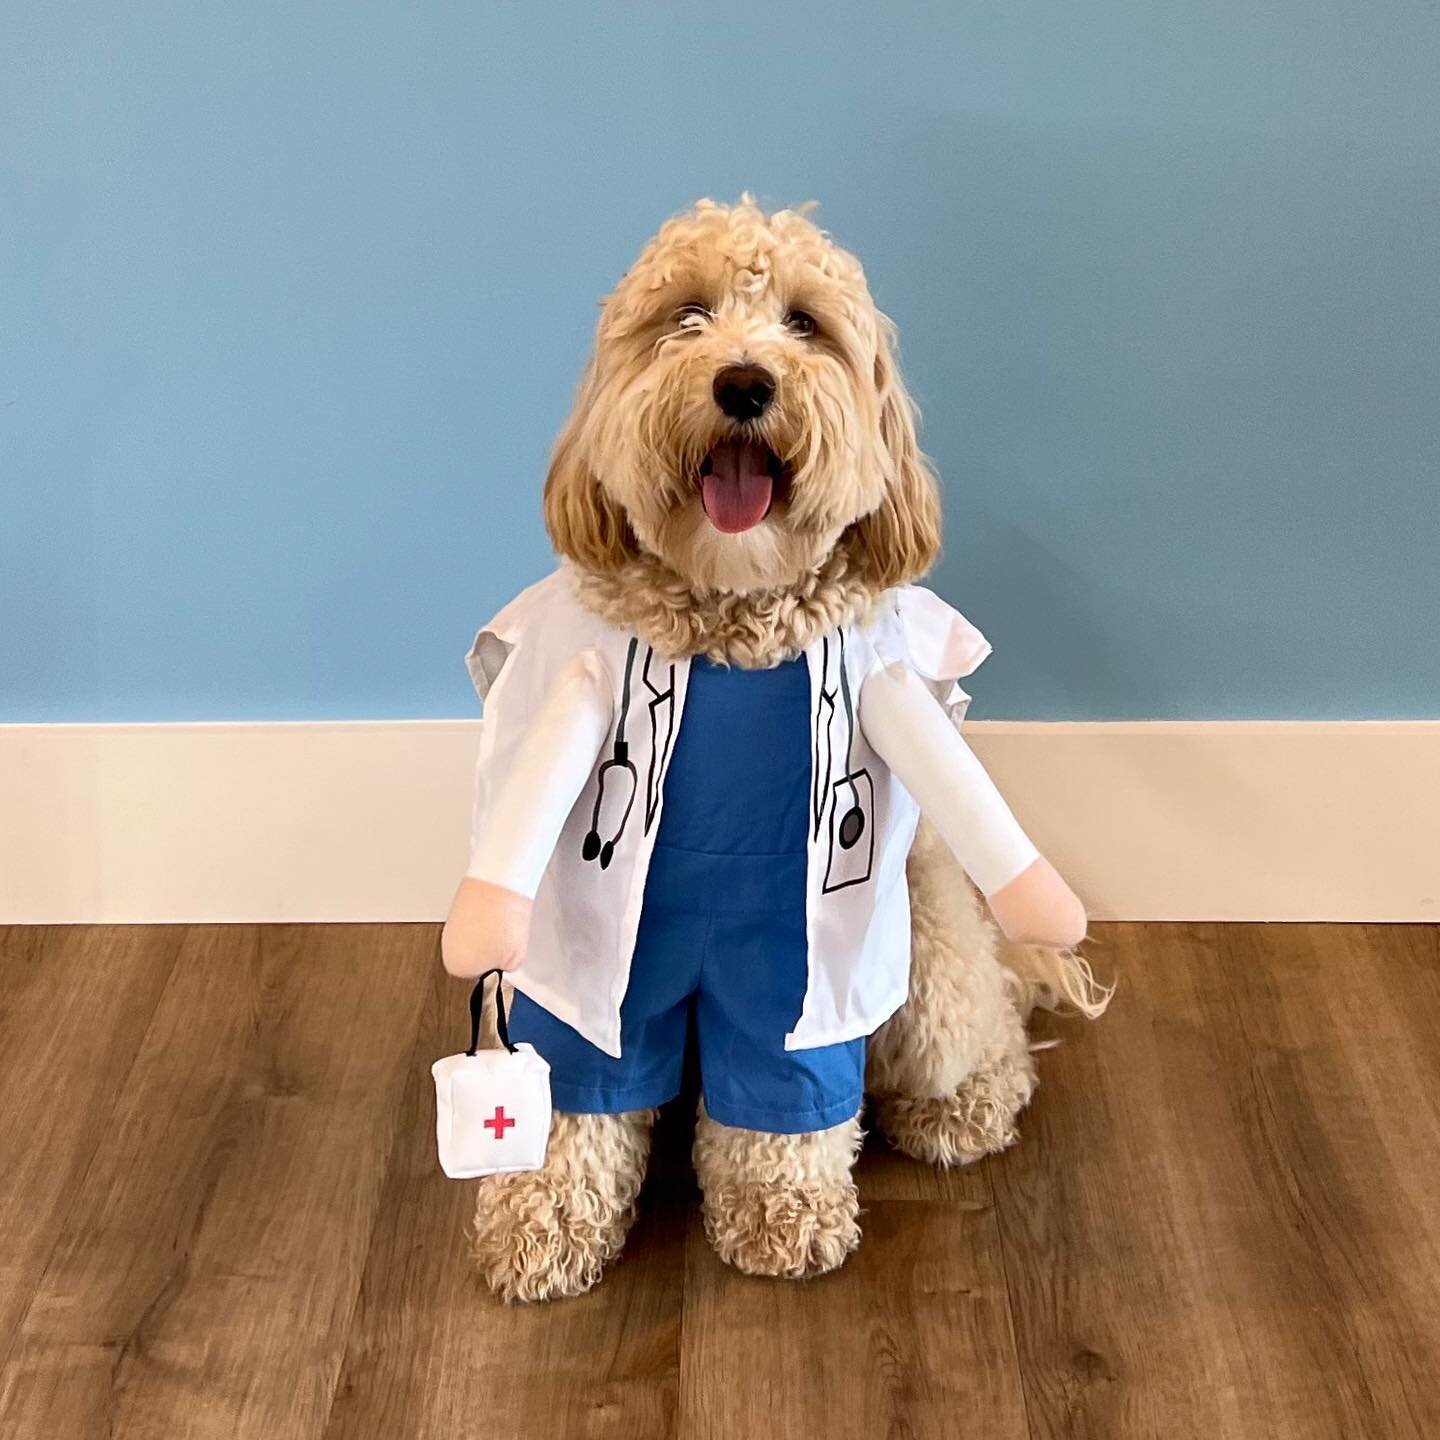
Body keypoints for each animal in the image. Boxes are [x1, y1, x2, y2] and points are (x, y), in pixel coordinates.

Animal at [437, 194, 1100, 1307]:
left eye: (805, 324)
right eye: (686, 316)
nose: (745, 382)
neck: (727, 621)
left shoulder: (792, 965)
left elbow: (791, 1100)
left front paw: (781, 1213)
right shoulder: (588, 966)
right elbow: (577, 1095)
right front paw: (542, 1220)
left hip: (929, 954)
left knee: (987, 1033)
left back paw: (959, 1107)